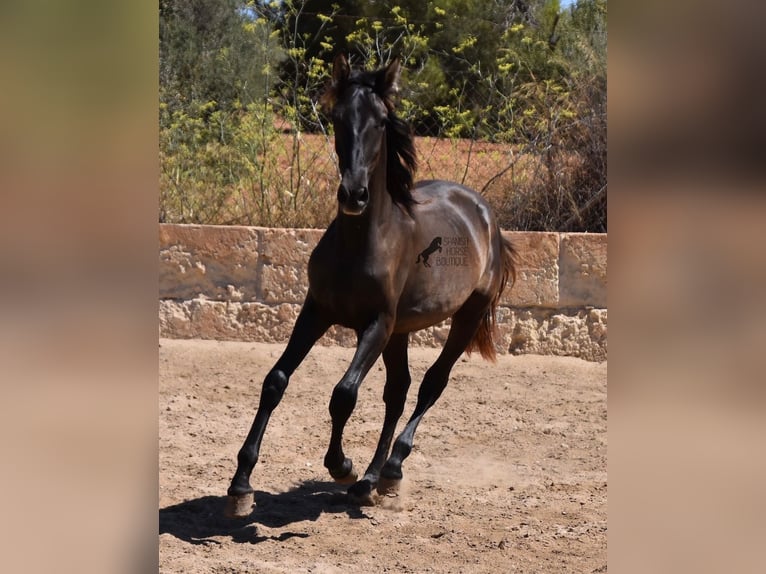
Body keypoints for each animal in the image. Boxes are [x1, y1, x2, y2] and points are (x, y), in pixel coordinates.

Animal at [225, 55, 520, 516]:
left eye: (381, 121)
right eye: (337, 117)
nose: (354, 194)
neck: (363, 242)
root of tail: (484, 213)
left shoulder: (376, 324)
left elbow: (343, 393)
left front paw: (341, 465)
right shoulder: (317, 311)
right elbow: (275, 380)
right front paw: (240, 486)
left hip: (464, 317)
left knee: (431, 384)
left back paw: (389, 470)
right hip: (401, 331)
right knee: (398, 391)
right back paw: (372, 479)